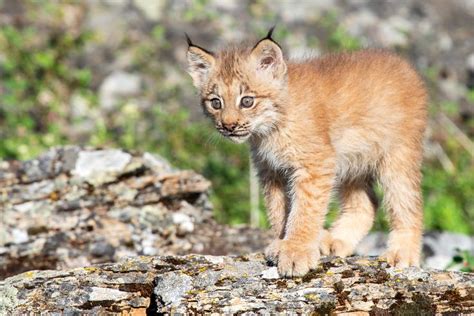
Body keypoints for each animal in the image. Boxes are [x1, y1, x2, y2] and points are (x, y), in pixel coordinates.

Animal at [185, 29, 426, 276]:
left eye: (247, 101)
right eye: (216, 103)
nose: (229, 126)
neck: (271, 128)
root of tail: (402, 64)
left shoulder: (315, 164)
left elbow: (304, 211)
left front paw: (296, 251)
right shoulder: (272, 170)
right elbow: (279, 211)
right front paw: (282, 242)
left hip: (398, 155)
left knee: (408, 204)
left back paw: (403, 254)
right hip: (351, 161)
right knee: (367, 204)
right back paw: (333, 241)